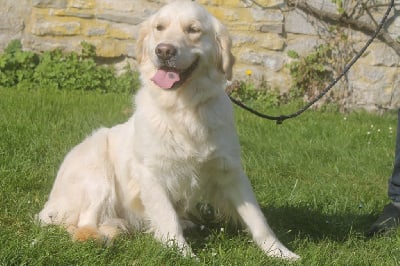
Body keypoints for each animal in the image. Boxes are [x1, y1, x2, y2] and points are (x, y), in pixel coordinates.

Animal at [37, 0, 298, 260]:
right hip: (97, 169)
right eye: (159, 28)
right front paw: (182, 254)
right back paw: (101, 236)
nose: (163, 51)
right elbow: (167, 217)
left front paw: (280, 252)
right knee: (84, 223)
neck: (184, 109)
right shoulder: (151, 173)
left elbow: (258, 219)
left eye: (193, 30)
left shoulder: (229, 169)